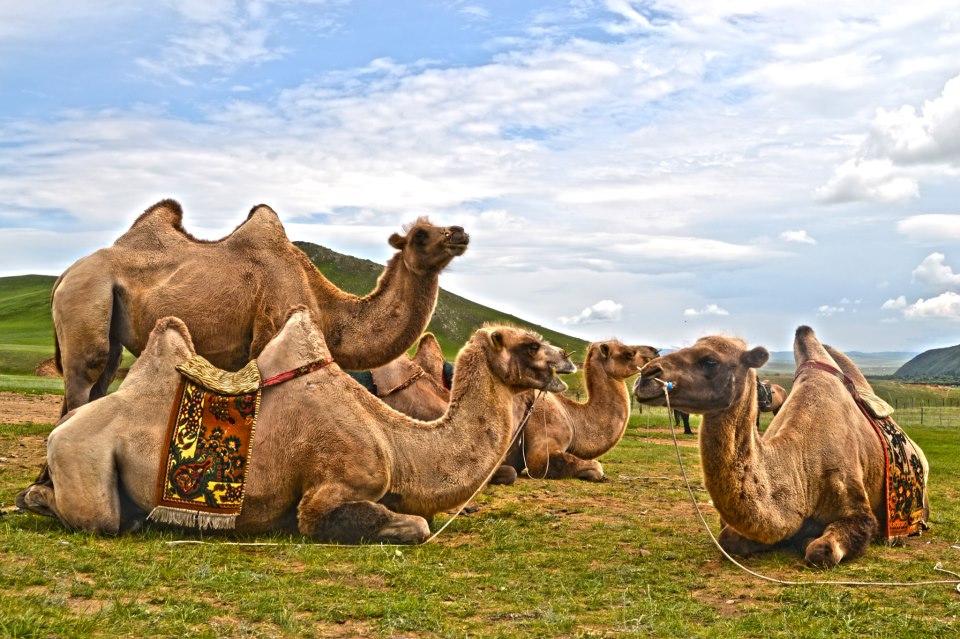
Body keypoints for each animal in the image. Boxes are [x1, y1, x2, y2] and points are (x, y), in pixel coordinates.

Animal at [15, 308, 572, 544]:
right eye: (528, 345)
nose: (566, 357)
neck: (396, 444)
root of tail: (58, 433)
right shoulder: (329, 490)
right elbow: (414, 525)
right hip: (85, 465)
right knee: (96, 516)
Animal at [49, 202, 468, 418]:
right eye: (420, 235)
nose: (460, 233)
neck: (328, 311)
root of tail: (66, 273)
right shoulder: (271, 335)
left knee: (100, 377)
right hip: (87, 294)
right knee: (85, 375)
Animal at [632, 328, 928, 568]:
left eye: (710, 360)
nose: (646, 374)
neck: (800, 466)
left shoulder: (859, 511)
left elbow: (821, 550)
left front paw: (807, 539)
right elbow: (728, 539)